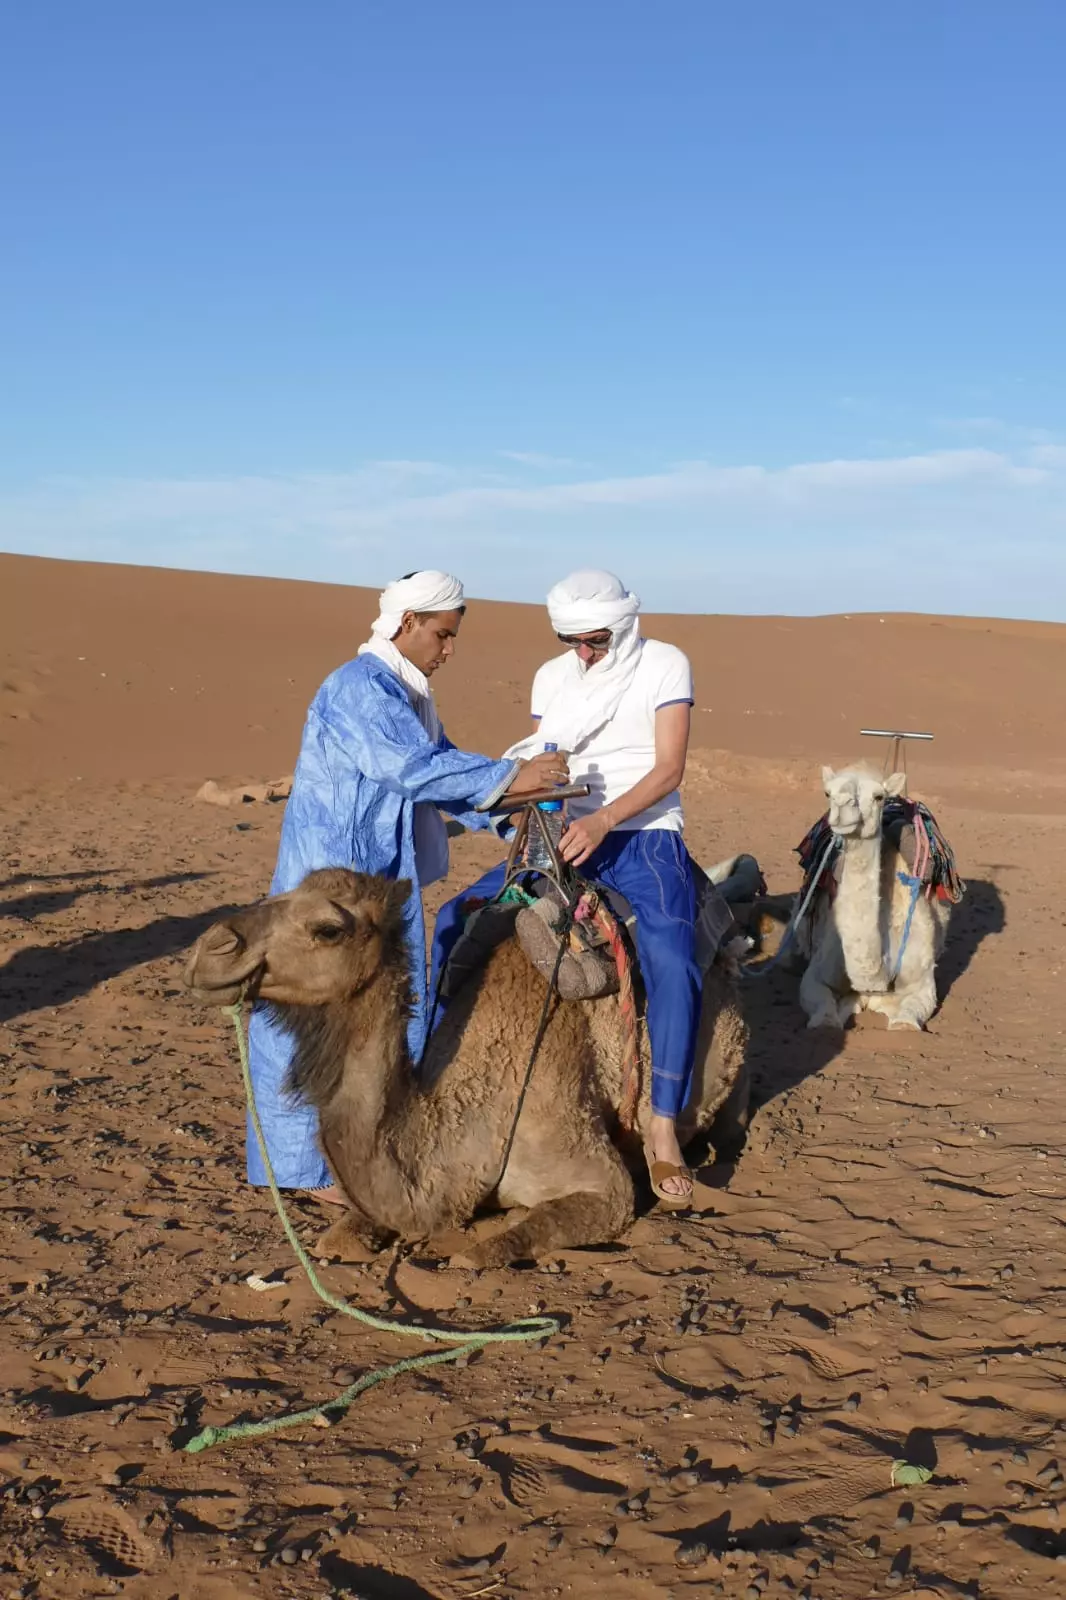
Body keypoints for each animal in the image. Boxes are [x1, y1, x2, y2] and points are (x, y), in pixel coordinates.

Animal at [797, 764, 947, 1036]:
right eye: (827, 793)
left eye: (878, 796)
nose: (842, 806)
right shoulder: (817, 973)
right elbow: (825, 1019)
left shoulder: (922, 981)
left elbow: (906, 1023)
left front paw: (903, 1022)